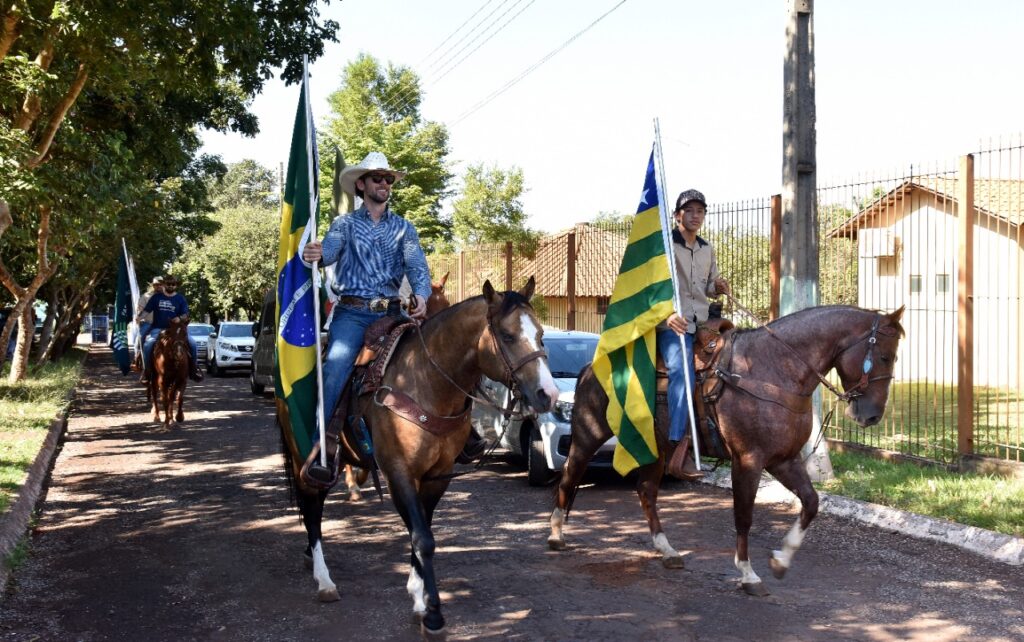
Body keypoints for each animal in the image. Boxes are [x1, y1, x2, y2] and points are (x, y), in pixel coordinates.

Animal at [280, 278, 558, 637]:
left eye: (540, 334)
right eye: (508, 336)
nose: (548, 394)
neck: (427, 384)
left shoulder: (437, 475)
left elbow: (422, 529)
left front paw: (418, 598)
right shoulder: (400, 472)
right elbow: (422, 538)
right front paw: (434, 614)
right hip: (305, 457)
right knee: (313, 509)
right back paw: (324, 580)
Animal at [547, 305, 905, 596]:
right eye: (884, 356)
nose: (872, 416)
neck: (774, 370)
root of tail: (589, 367)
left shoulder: (784, 461)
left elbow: (811, 503)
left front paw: (781, 560)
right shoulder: (748, 461)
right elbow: (743, 516)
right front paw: (748, 575)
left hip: (656, 449)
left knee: (646, 491)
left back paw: (667, 551)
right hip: (588, 436)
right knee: (568, 477)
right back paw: (556, 535)